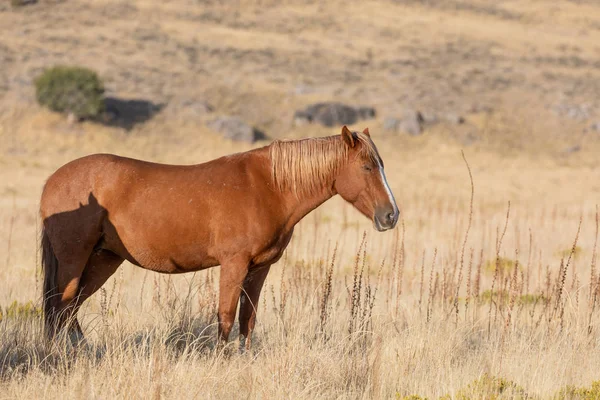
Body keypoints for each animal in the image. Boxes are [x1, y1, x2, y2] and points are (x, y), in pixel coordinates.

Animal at [41, 126, 398, 348]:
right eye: (367, 167)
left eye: (381, 165)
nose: (391, 216)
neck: (270, 186)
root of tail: (53, 179)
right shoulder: (234, 264)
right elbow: (225, 317)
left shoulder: (259, 268)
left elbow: (247, 320)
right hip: (75, 259)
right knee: (61, 306)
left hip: (104, 259)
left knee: (70, 309)